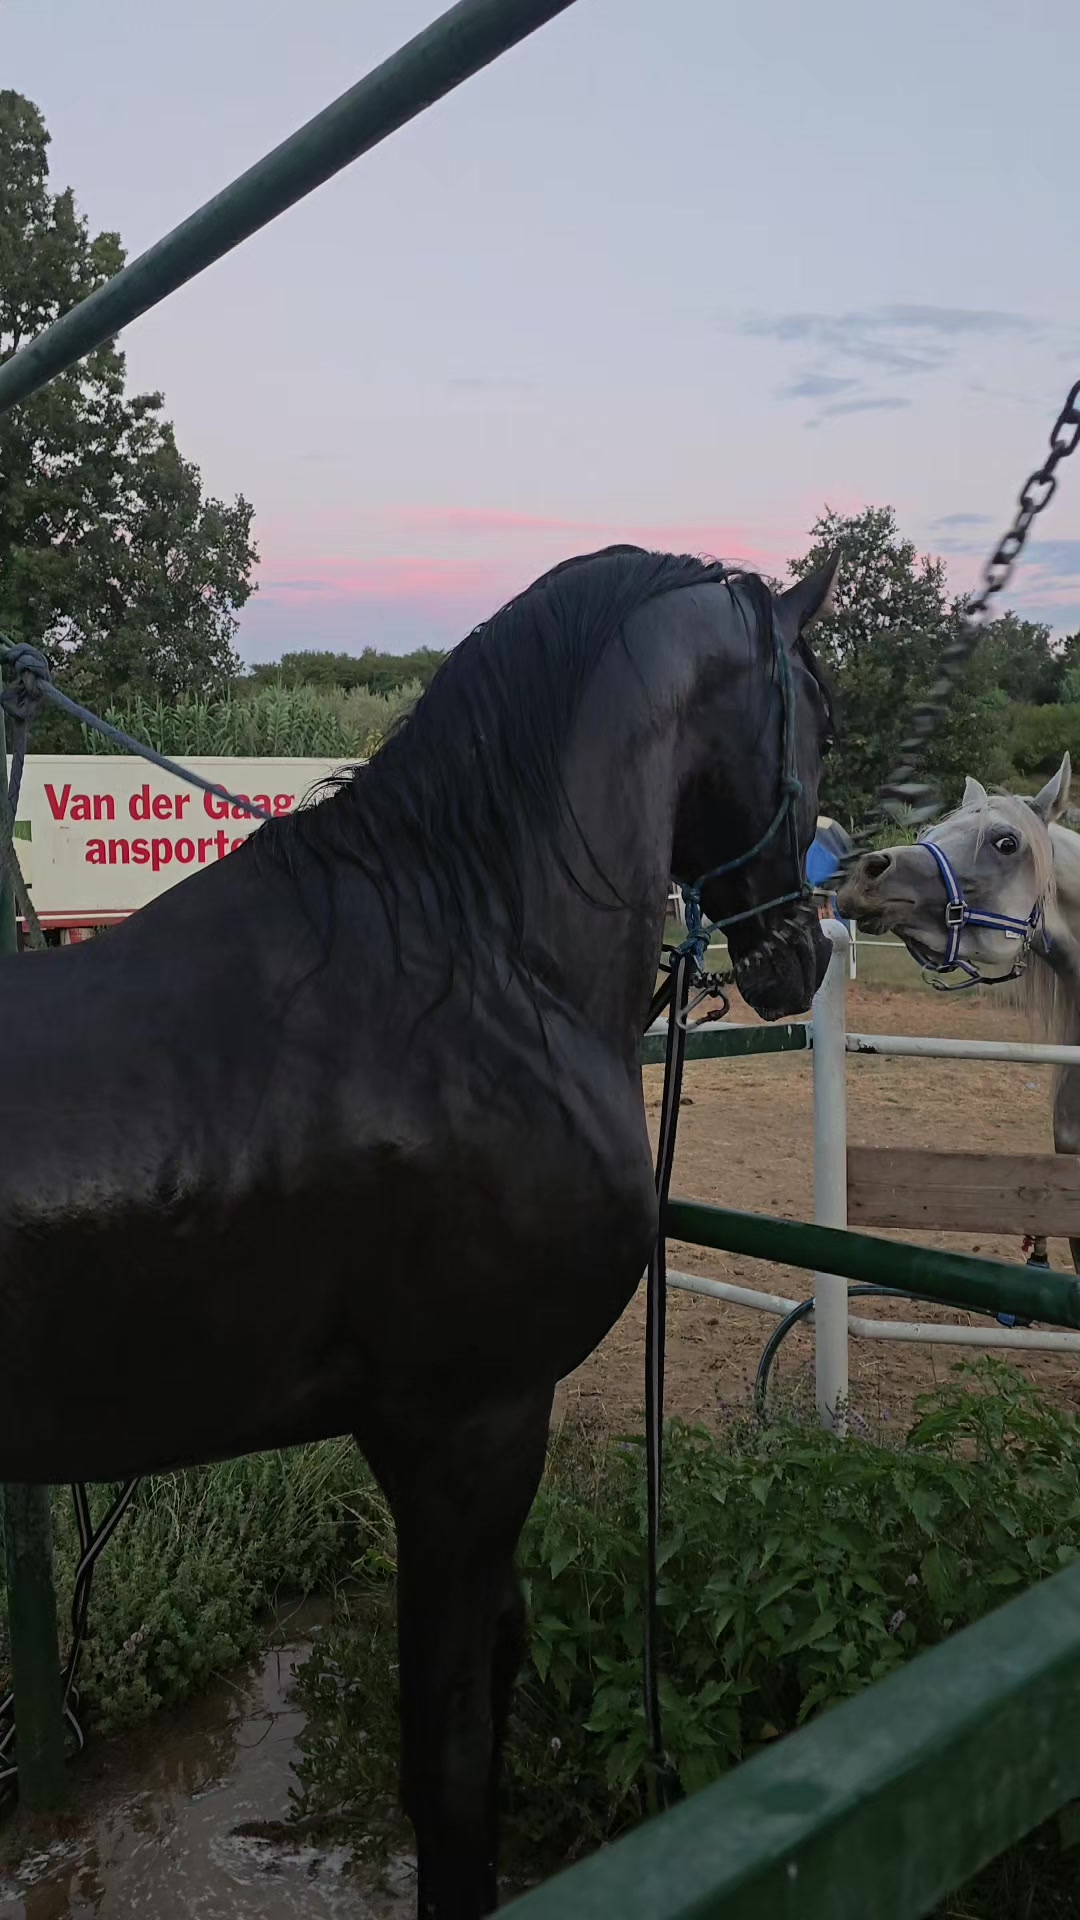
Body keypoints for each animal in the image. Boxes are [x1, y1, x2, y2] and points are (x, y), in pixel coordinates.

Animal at [0, 542, 838, 1919]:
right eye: (819, 719)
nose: (800, 960)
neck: (484, 962)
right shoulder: (468, 1429)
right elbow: (449, 1766)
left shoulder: (438, 1436)